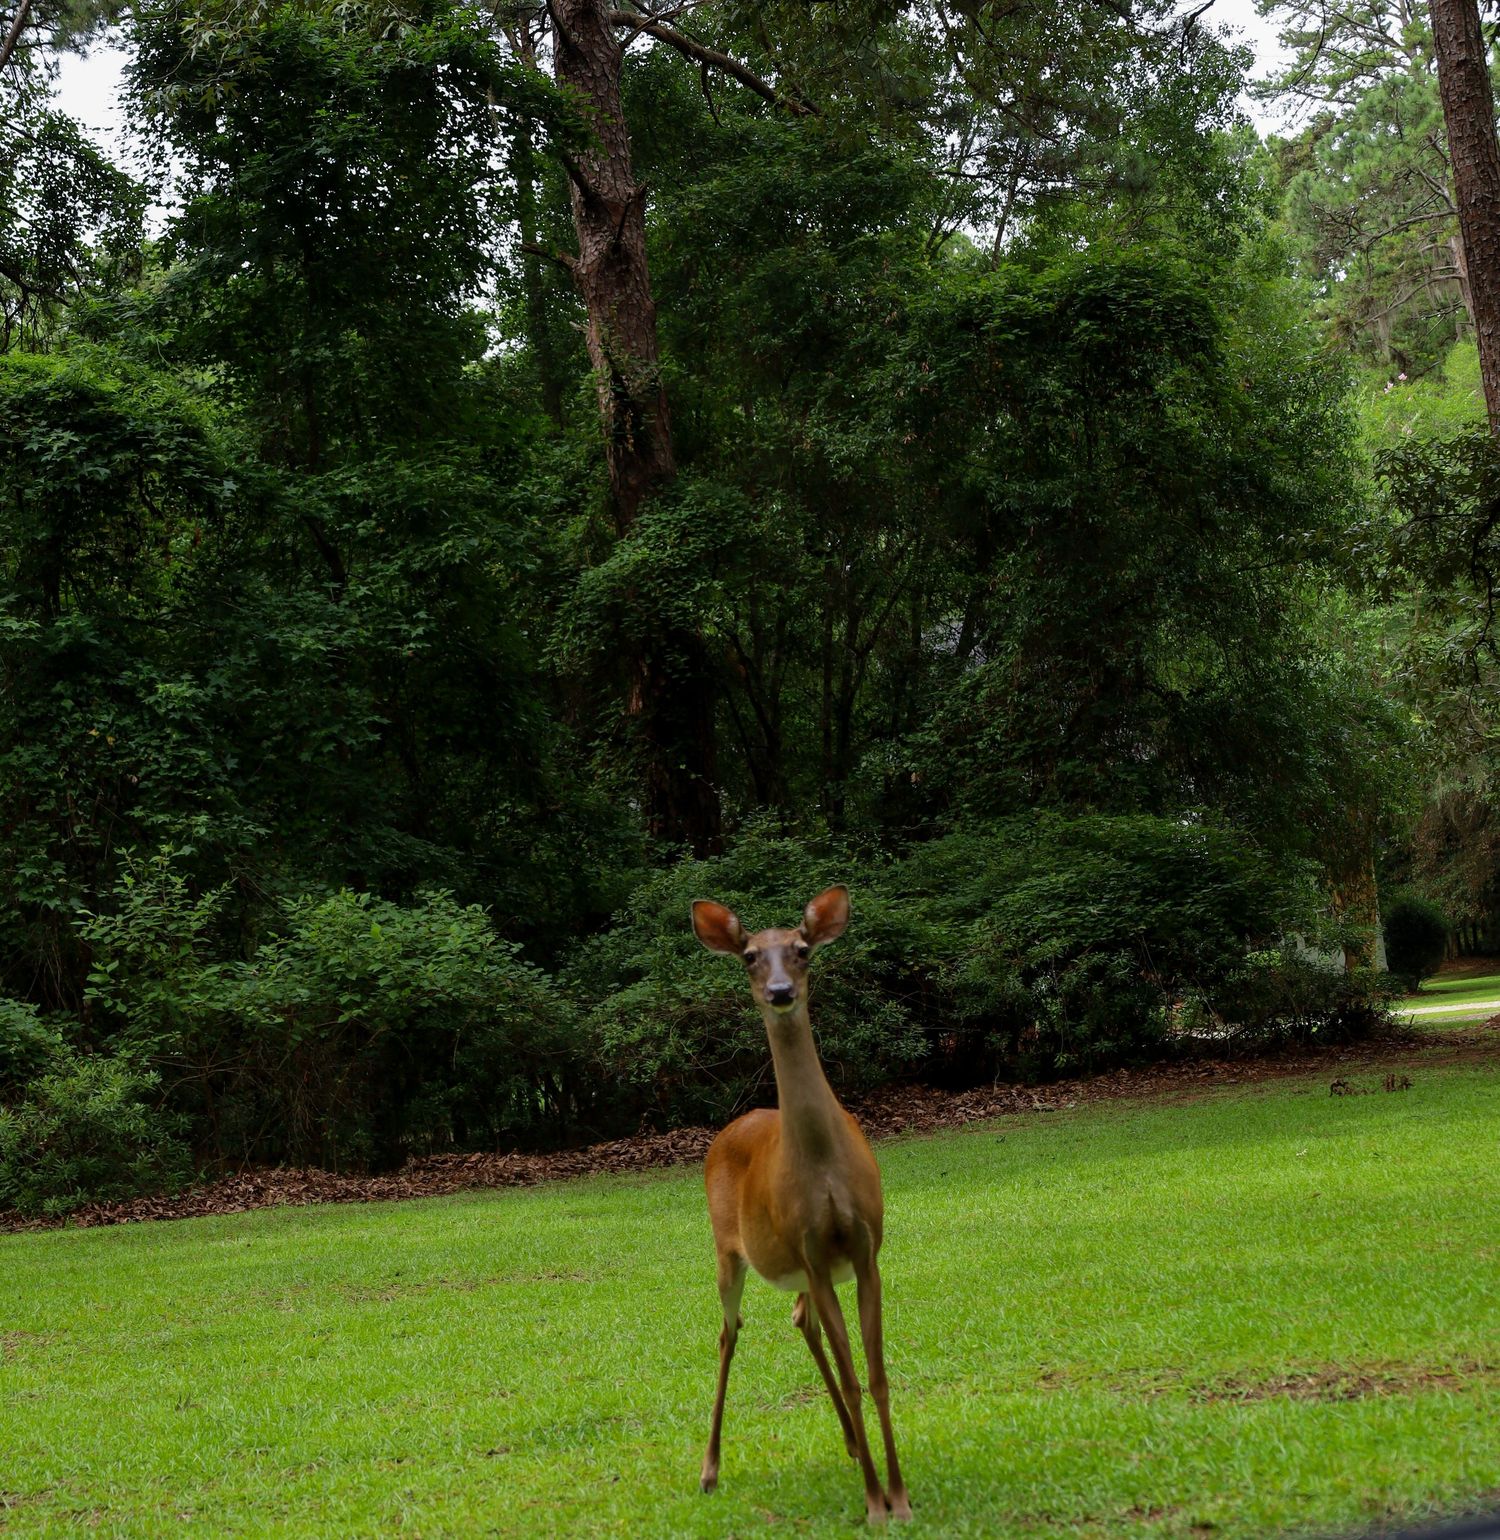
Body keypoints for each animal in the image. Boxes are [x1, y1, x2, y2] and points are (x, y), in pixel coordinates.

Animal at [690, 884, 911, 1526]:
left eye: (803, 949)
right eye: (749, 957)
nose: (781, 992)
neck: (821, 1166)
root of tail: (731, 1128)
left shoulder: (863, 1249)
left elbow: (876, 1375)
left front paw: (899, 1496)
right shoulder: (811, 1252)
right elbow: (855, 1374)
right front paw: (876, 1503)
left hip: (807, 1274)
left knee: (799, 1319)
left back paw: (850, 1442)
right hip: (729, 1251)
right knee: (729, 1332)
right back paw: (710, 1470)